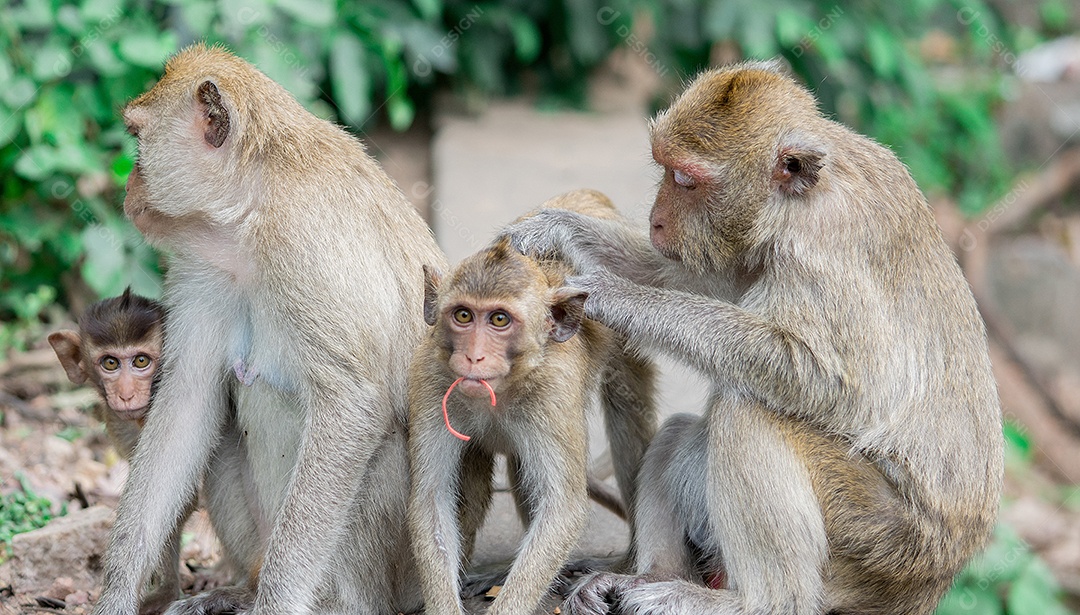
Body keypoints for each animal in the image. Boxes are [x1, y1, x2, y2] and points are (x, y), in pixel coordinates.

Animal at [91, 43, 447, 615]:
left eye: (135, 139)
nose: (128, 185)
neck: (249, 208)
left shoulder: (305, 243)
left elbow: (352, 403)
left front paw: (276, 604)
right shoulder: (204, 263)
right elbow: (188, 400)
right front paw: (118, 592)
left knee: (385, 445)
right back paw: (240, 590)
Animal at [505, 61, 1003, 615]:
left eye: (685, 179)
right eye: (663, 168)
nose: (656, 221)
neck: (794, 203)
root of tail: (929, 585)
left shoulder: (819, 250)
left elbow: (822, 378)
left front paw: (614, 297)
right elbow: (689, 276)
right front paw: (556, 229)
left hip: (877, 544)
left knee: (751, 411)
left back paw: (759, 601)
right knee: (684, 429)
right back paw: (650, 575)